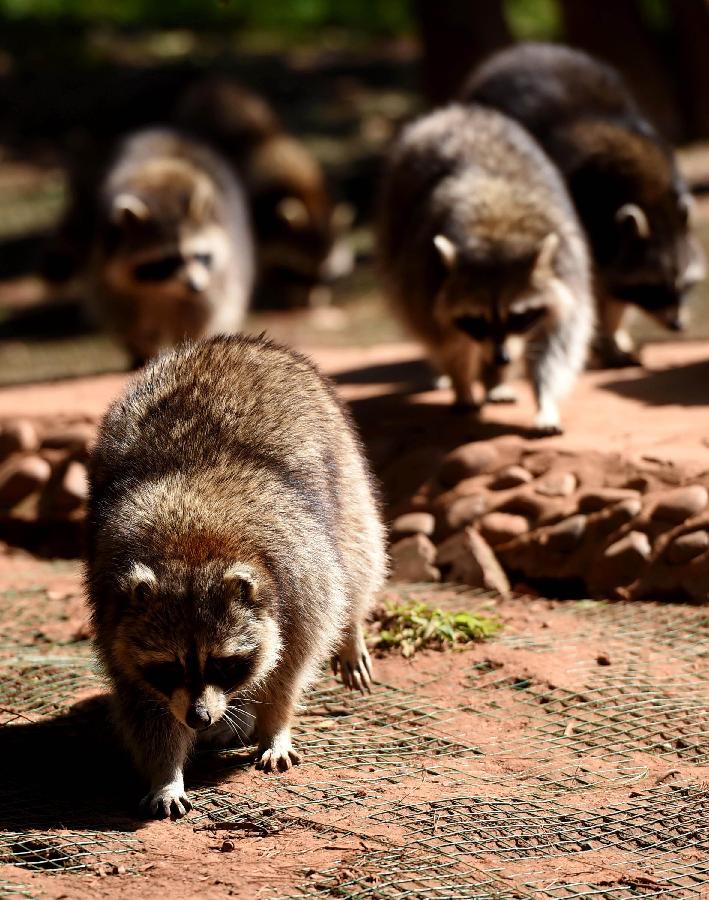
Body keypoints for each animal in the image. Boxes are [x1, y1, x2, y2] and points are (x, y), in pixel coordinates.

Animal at [89, 334, 390, 820]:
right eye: (169, 667)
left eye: (223, 663)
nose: (198, 717)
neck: (191, 544)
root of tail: (236, 342)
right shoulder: (110, 603)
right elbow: (142, 701)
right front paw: (165, 772)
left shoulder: (303, 577)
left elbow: (291, 664)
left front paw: (274, 725)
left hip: (346, 472)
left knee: (360, 553)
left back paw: (351, 629)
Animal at [176, 77, 352, 310]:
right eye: (295, 273)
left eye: (325, 276)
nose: (310, 305)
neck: (301, 189)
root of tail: (209, 84)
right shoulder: (253, 211)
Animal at [378, 105, 596, 436]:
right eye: (476, 319)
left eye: (519, 316)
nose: (501, 357)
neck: (497, 236)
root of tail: (454, 112)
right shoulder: (423, 276)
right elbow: (446, 339)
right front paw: (461, 382)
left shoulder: (568, 271)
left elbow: (557, 344)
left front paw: (545, 399)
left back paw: (496, 382)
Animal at [464, 44, 704, 368]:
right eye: (653, 287)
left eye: (684, 283)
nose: (677, 324)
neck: (649, 194)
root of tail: (518, 51)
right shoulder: (578, 213)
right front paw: (605, 342)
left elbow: (613, 291)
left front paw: (616, 336)